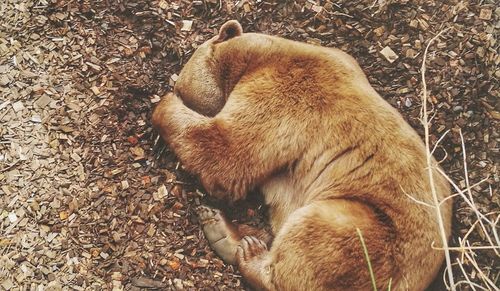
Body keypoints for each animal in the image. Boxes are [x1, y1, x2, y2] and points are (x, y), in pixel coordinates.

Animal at [152, 20, 454, 291]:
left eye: (181, 88)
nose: (176, 89)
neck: (255, 57)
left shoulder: (283, 95)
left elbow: (227, 155)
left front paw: (163, 105)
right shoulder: (339, 59)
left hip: (376, 233)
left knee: (316, 235)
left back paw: (248, 254)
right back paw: (224, 229)